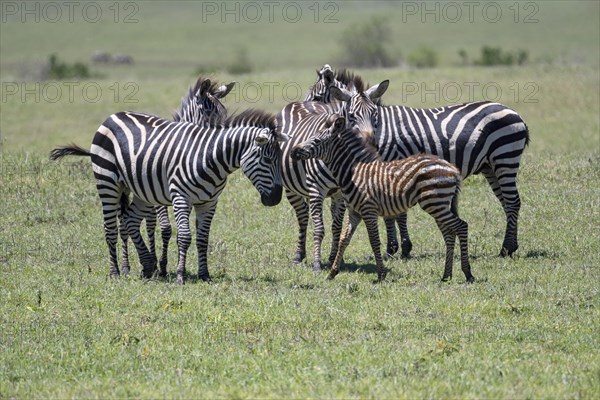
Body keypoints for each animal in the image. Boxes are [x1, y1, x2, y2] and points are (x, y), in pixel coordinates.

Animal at [49, 108, 288, 284]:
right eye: (268, 160)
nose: (275, 199)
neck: (211, 158)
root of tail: (113, 115)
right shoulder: (181, 197)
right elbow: (185, 237)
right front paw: (181, 276)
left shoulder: (209, 202)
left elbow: (203, 239)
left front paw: (204, 275)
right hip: (107, 181)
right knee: (110, 229)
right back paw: (116, 272)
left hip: (141, 191)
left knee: (130, 220)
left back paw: (147, 266)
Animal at [118, 75, 236, 276]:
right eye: (208, 112)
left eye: (224, 112)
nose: (224, 138)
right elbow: (166, 229)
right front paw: (163, 267)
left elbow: (182, 231)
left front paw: (176, 266)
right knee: (129, 224)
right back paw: (128, 267)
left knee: (148, 224)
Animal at [290, 115, 474, 284]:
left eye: (316, 140)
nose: (293, 151)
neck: (352, 173)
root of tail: (453, 169)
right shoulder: (354, 212)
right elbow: (344, 240)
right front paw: (332, 272)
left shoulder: (369, 210)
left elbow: (374, 241)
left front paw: (381, 274)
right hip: (439, 205)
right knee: (449, 234)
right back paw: (446, 276)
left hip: (435, 203)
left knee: (462, 226)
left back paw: (468, 274)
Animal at [330, 80, 532, 260]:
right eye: (351, 115)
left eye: (374, 114)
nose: (372, 143)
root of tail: (514, 112)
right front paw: (395, 248)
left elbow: (397, 213)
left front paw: (399, 249)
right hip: (490, 166)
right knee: (506, 203)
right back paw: (510, 246)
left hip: (505, 157)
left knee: (513, 202)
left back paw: (507, 248)